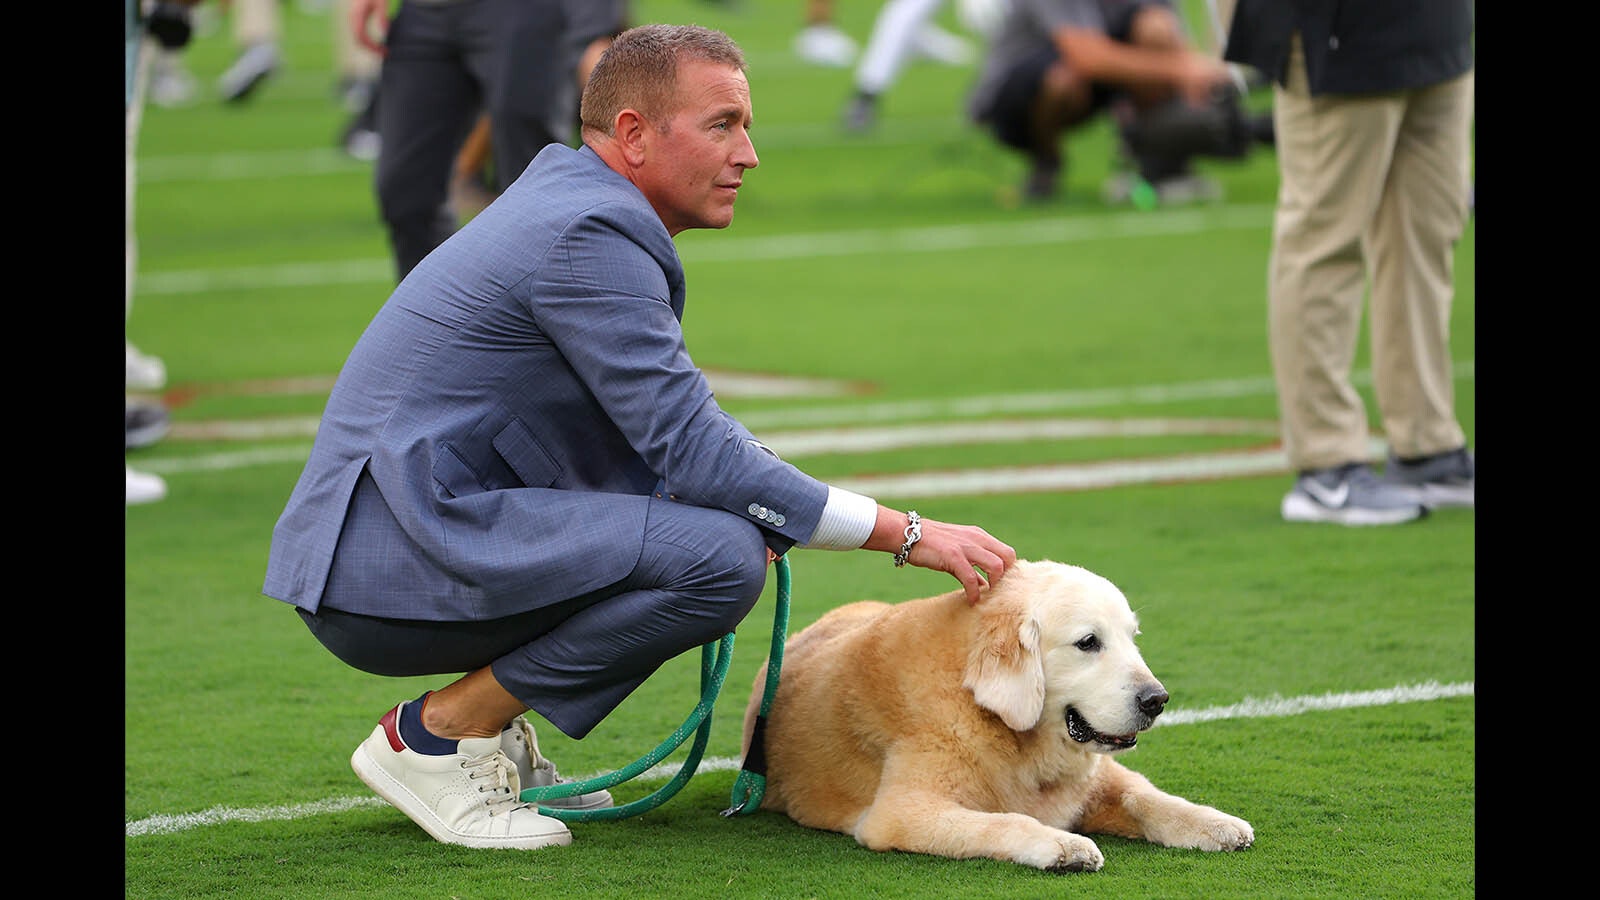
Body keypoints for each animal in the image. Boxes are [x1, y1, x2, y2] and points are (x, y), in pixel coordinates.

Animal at [736, 557, 1248, 864]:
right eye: (1088, 642)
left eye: (1132, 638)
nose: (1157, 700)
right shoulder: (903, 811)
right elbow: (1006, 820)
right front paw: (1063, 844)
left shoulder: (1099, 778)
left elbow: (1146, 797)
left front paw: (1214, 823)